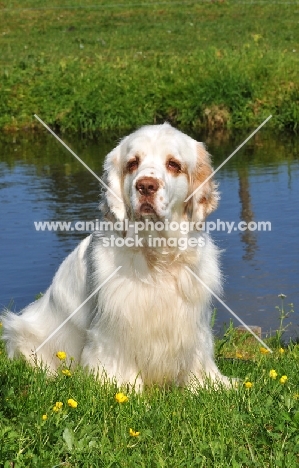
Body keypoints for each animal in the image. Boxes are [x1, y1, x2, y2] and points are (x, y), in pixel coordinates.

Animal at [2, 122, 232, 390]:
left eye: (174, 164)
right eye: (132, 163)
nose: (145, 186)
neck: (155, 253)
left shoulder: (192, 324)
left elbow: (197, 357)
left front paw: (207, 385)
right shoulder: (115, 327)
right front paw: (125, 390)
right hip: (24, 335)